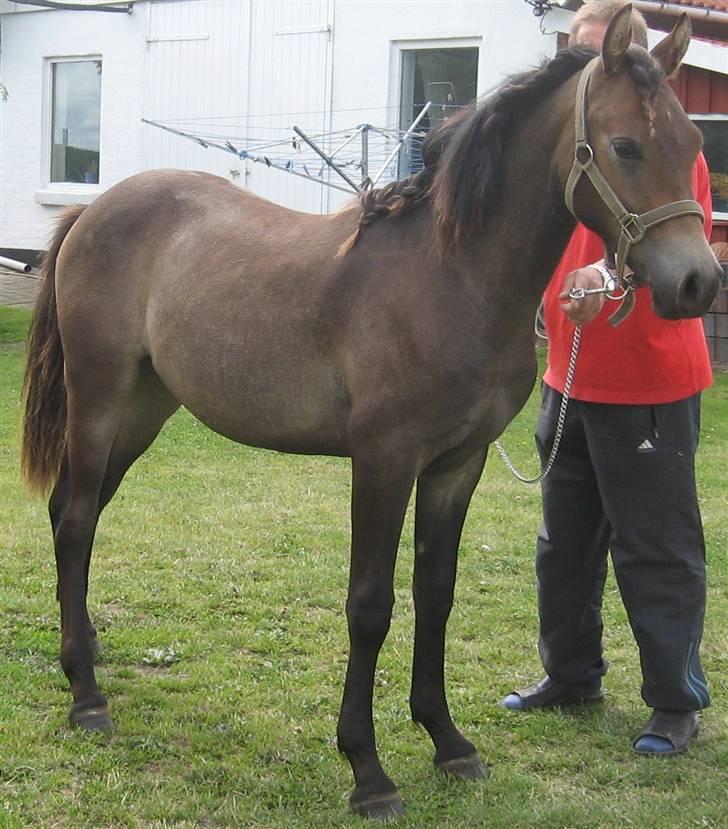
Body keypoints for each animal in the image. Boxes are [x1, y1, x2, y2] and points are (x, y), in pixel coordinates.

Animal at [18, 8, 724, 820]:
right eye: (626, 145)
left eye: (694, 144)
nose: (697, 282)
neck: (452, 274)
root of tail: (92, 210)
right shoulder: (384, 461)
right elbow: (370, 604)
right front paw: (368, 768)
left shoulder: (456, 466)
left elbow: (435, 594)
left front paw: (447, 740)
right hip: (100, 399)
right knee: (75, 523)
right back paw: (87, 695)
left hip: (144, 409)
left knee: (74, 513)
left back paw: (84, 657)